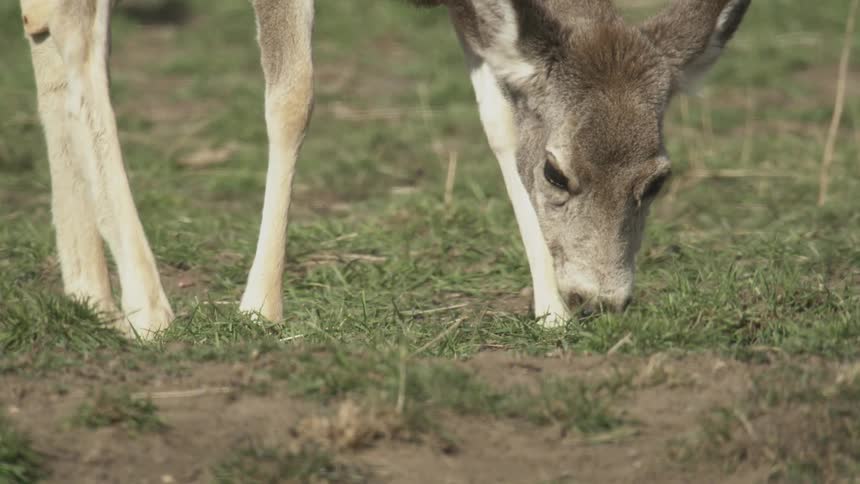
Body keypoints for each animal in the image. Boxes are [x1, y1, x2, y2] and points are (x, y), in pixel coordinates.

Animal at [17, 0, 750, 338]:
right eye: (557, 173)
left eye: (658, 178)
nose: (601, 299)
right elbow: (294, 95)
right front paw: (259, 308)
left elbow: (496, 120)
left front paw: (549, 312)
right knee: (78, 29)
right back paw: (148, 304)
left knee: (46, 23)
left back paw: (90, 288)